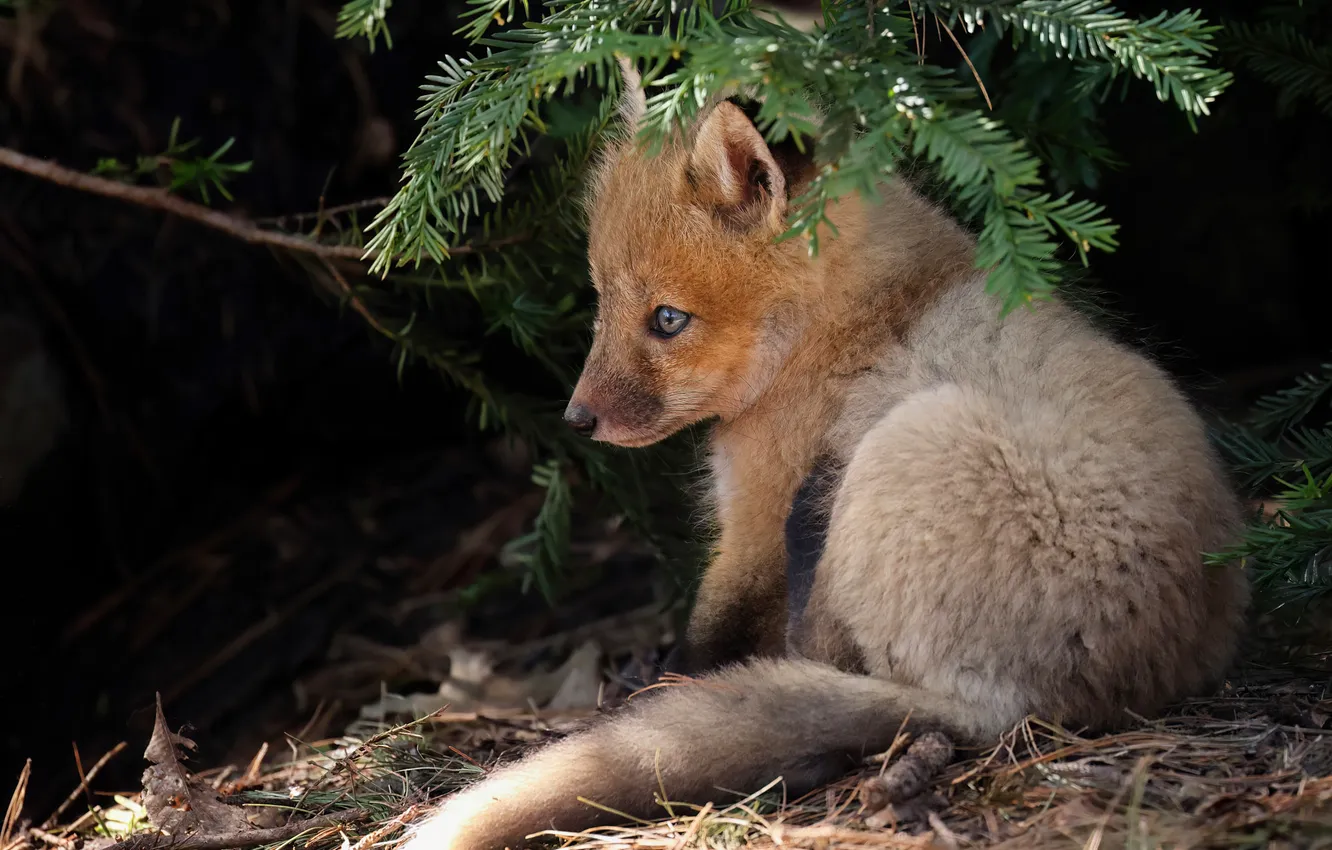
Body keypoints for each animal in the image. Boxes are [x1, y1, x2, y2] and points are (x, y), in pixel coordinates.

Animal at [397, 60, 1250, 850]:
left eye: (668, 319)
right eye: (601, 299)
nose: (576, 420)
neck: (833, 324)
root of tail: (1049, 704)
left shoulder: (759, 512)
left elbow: (709, 635)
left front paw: (654, 693)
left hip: (900, 452)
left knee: (827, 657)